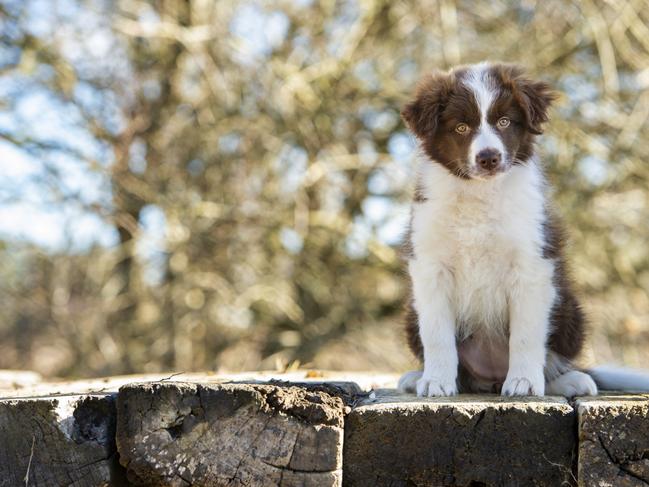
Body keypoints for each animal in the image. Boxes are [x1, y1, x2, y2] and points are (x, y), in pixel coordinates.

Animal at [398, 62, 644, 396]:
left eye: (504, 121)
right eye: (461, 128)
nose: (489, 158)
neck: (481, 195)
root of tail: (490, 376)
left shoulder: (531, 265)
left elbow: (526, 335)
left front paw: (524, 382)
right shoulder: (430, 266)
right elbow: (437, 333)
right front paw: (436, 382)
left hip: (570, 311)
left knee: (552, 360)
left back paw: (571, 381)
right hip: (412, 313)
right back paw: (417, 377)